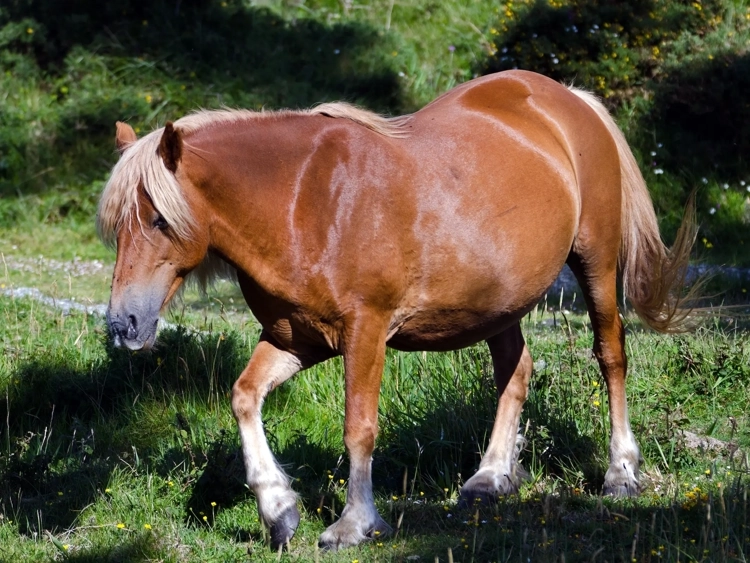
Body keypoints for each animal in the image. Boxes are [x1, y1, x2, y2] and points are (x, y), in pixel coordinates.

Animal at [98, 70, 697, 551]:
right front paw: (278, 509)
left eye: (158, 219)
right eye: (117, 226)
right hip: (499, 303)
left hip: (595, 262)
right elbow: (244, 397)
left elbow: (359, 428)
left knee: (611, 357)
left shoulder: (365, 332)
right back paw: (491, 478)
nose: (124, 324)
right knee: (515, 371)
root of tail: (569, 100)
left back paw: (620, 472)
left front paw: (355, 524)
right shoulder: (296, 339)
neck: (303, 201)